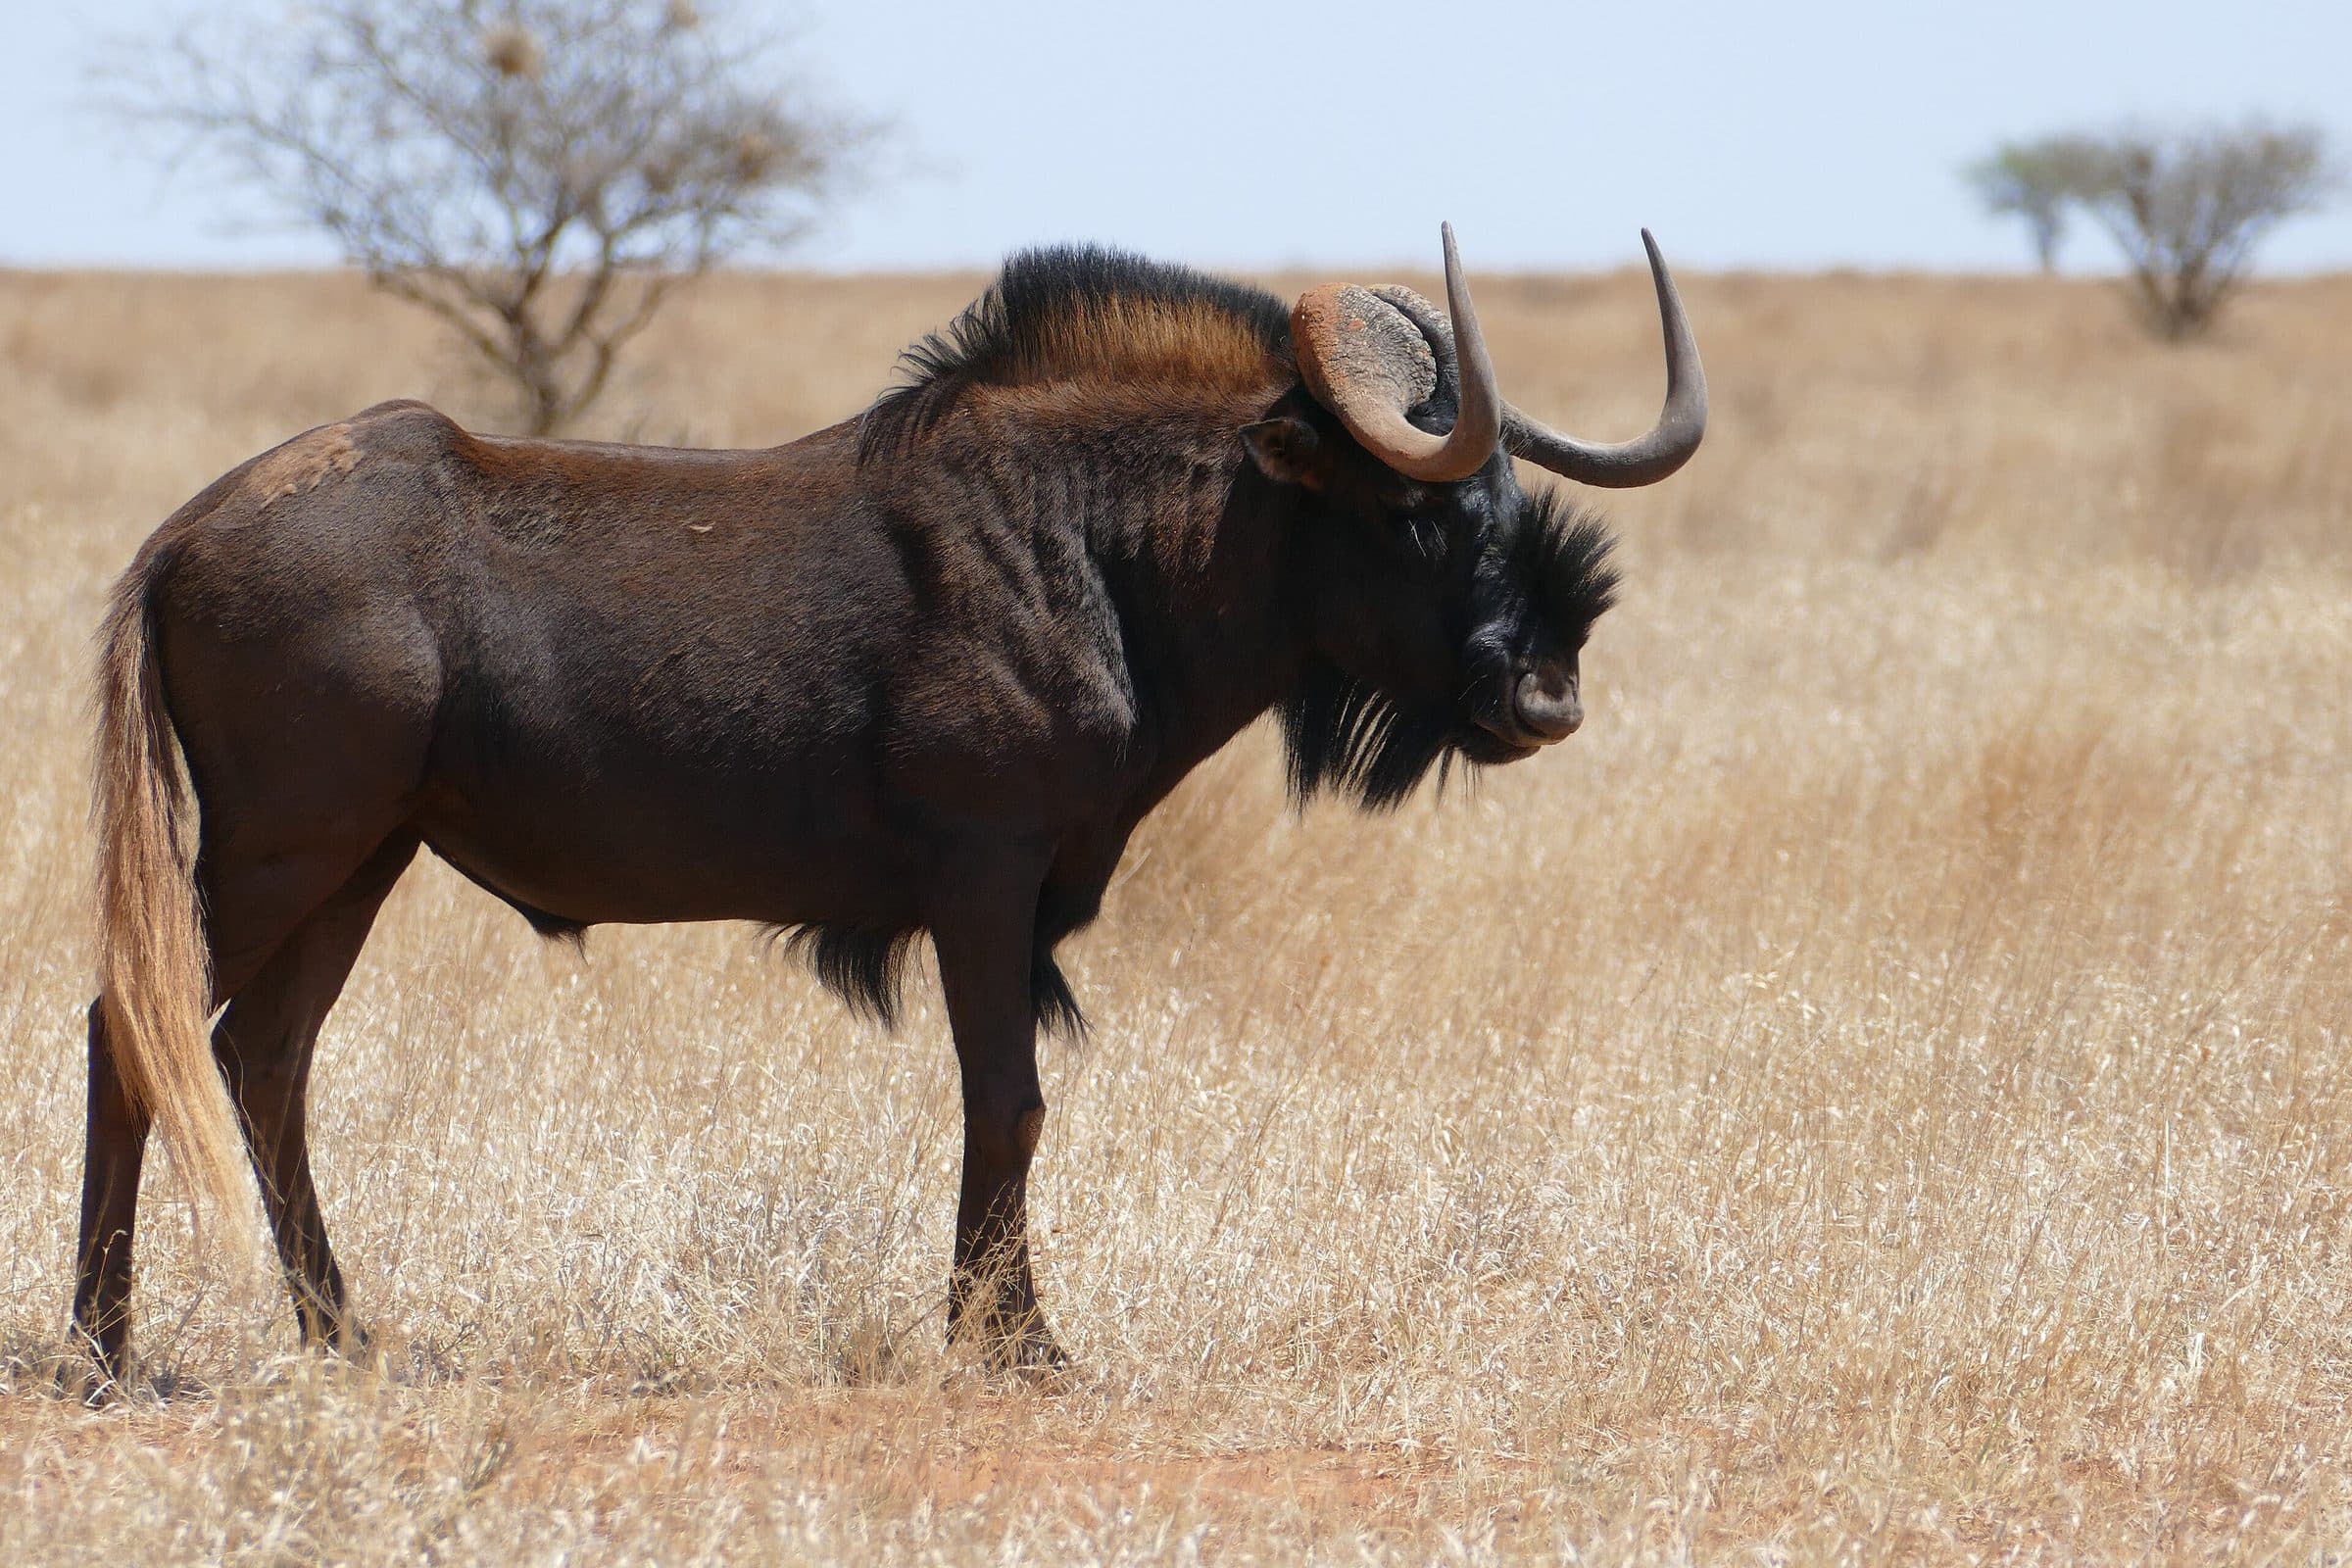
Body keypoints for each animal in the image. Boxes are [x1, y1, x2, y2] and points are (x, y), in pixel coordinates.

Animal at [75, 225, 1703, 1381]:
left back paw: (341, 1334)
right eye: (1416, 505)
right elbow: (1010, 1101)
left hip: (359, 863)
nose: (1544, 695)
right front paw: (1015, 1343)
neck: (1093, 546)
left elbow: (1008, 1104)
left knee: (264, 1061)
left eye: (1501, 493)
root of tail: (178, 540)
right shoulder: (987, 886)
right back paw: (101, 1346)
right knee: (133, 1027)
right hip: (281, 857)